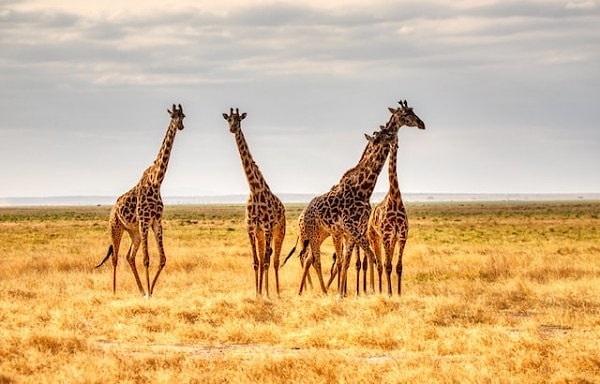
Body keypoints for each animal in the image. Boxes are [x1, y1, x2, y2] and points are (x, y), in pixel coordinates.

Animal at [95, 103, 185, 296]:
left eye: (183, 116)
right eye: (173, 116)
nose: (180, 126)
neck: (157, 181)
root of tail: (113, 209)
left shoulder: (156, 221)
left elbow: (162, 258)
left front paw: (150, 291)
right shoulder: (144, 221)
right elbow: (146, 259)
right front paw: (149, 293)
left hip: (133, 232)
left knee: (129, 256)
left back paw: (141, 289)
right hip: (116, 227)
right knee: (115, 257)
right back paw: (114, 291)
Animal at [223, 108, 286, 296]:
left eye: (239, 120)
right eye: (228, 119)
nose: (232, 128)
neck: (255, 190)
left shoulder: (267, 228)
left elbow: (265, 261)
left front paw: (266, 293)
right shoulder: (251, 229)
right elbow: (256, 262)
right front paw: (257, 293)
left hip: (279, 231)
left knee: (274, 260)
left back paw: (277, 292)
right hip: (260, 235)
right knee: (265, 256)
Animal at [366, 99, 426, 294]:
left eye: (388, 134)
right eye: (405, 113)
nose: (422, 124)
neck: (395, 198)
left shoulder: (402, 235)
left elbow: (398, 266)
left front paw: (398, 293)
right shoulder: (386, 235)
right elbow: (387, 266)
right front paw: (390, 293)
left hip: (389, 239)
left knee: (385, 263)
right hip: (375, 237)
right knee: (379, 264)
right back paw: (379, 290)